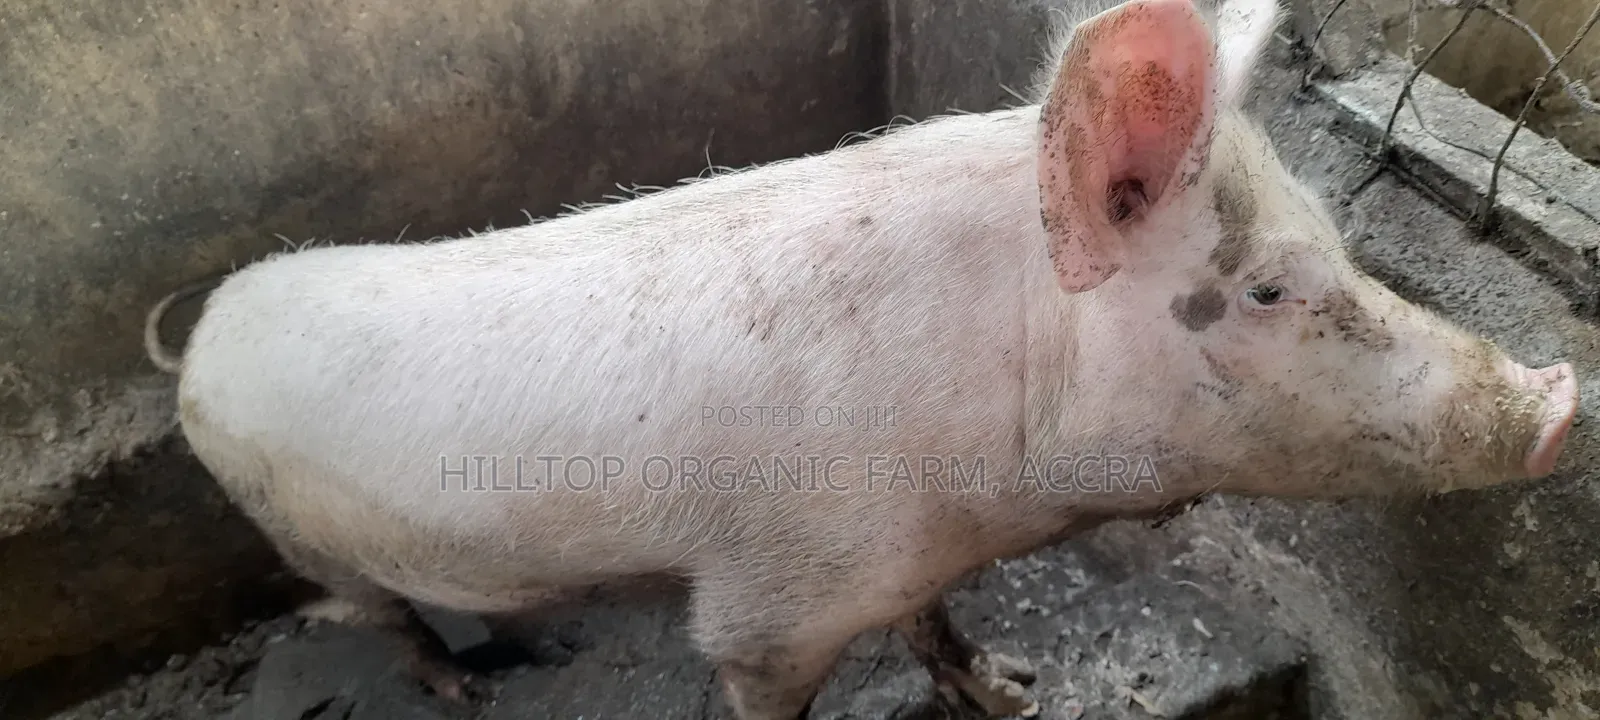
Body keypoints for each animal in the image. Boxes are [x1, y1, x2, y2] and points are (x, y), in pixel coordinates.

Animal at [142, 0, 1580, 716]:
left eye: (1341, 243)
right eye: (1272, 287)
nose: (1563, 397)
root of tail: (196, 337)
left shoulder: (913, 559)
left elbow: (938, 629)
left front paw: (1014, 693)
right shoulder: (767, 609)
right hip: (300, 533)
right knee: (371, 611)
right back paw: (455, 688)